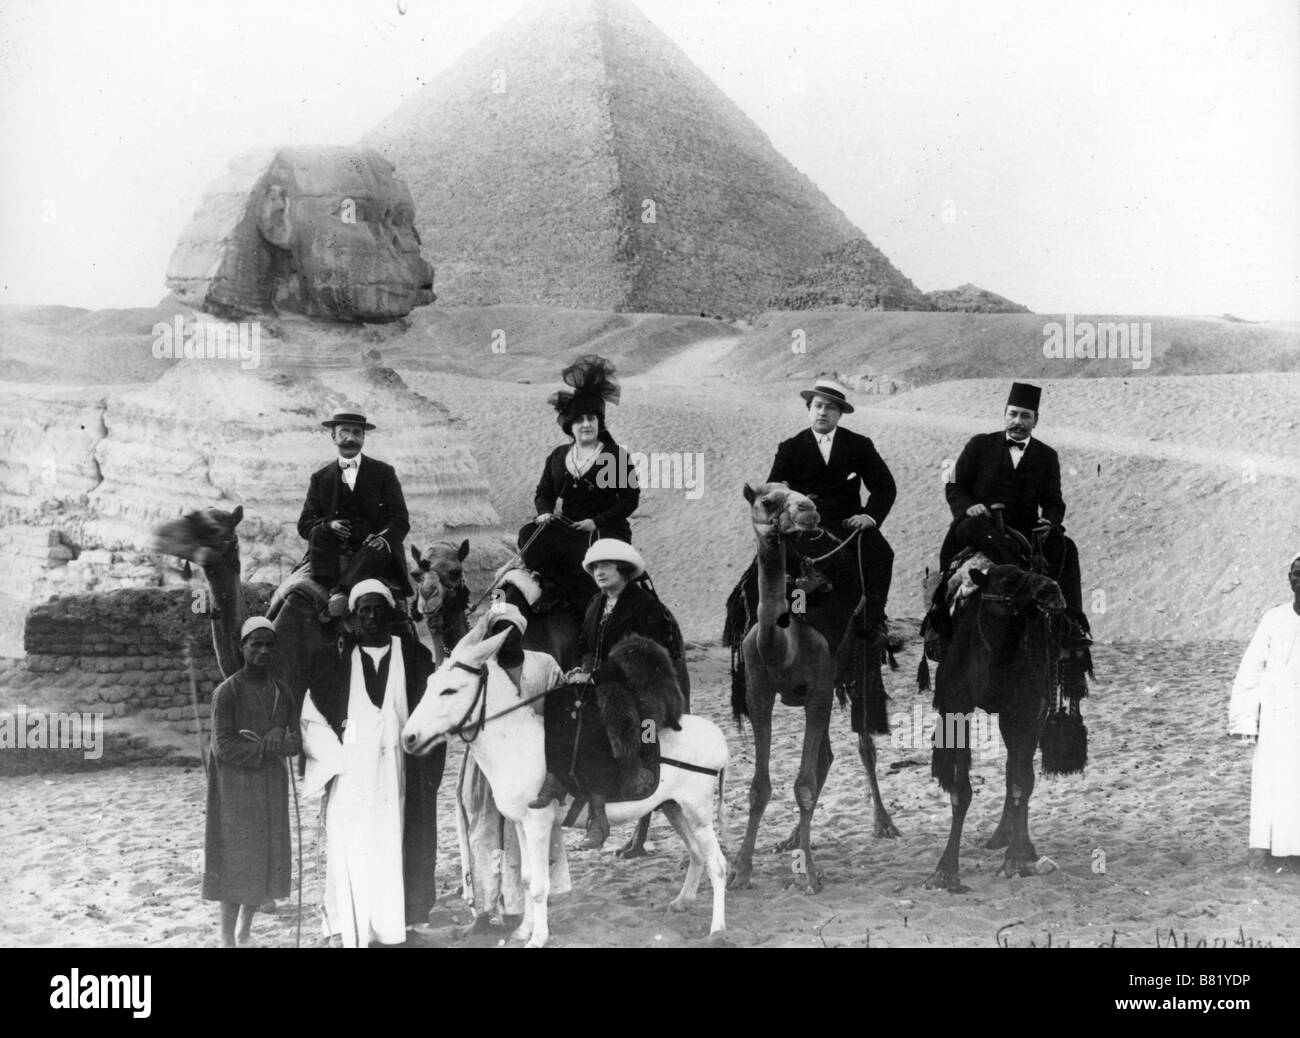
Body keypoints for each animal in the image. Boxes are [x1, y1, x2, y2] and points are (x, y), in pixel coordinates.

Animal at [403, 621, 733, 946]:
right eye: (429, 683)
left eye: (449, 690)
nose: (409, 738)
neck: (516, 743)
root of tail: (717, 737)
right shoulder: (521, 824)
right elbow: (526, 879)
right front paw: (523, 931)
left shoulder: (537, 823)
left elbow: (539, 885)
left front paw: (538, 937)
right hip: (674, 808)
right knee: (697, 854)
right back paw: (683, 901)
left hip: (697, 813)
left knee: (717, 864)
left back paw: (717, 929)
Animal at [728, 483, 899, 900]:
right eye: (766, 499)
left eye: (799, 492)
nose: (809, 510)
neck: (783, 644)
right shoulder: (758, 694)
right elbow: (759, 788)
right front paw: (740, 870)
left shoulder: (820, 688)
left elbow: (803, 785)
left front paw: (807, 875)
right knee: (827, 756)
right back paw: (792, 839)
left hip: (857, 670)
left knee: (864, 747)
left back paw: (883, 823)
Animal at [925, 561, 1066, 894]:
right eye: (1007, 581)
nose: (1051, 589)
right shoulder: (955, 706)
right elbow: (960, 790)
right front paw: (945, 871)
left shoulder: (1026, 708)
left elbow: (1020, 782)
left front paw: (1015, 860)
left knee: (1019, 771)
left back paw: (1019, 844)